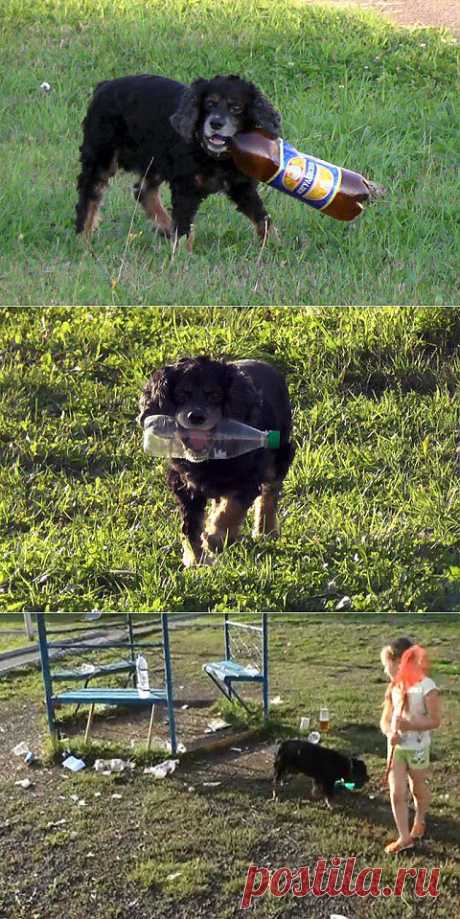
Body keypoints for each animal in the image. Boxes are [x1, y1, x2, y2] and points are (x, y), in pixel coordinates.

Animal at [75, 74, 280, 250]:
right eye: (209, 104)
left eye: (236, 108)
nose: (215, 124)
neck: (214, 157)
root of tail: (104, 86)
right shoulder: (185, 186)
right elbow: (184, 225)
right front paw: (182, 254)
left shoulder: (241, 185)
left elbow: (262, 217)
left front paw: (274, 245)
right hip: (101, 156)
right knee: (89, 195)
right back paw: (84, 239)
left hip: (155, 160)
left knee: (143, 191)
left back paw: (165, 227)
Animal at [138, 356, 292, 564]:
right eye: (181, 395)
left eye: (215, 396)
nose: (196, 417)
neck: (209, 459)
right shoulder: (184, 485)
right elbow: (190, 526)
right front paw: (196, 560)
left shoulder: (246, 481)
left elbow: (230, 511)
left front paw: (214, 539)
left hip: (279, 455)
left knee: (270, 493)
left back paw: (265, 532)